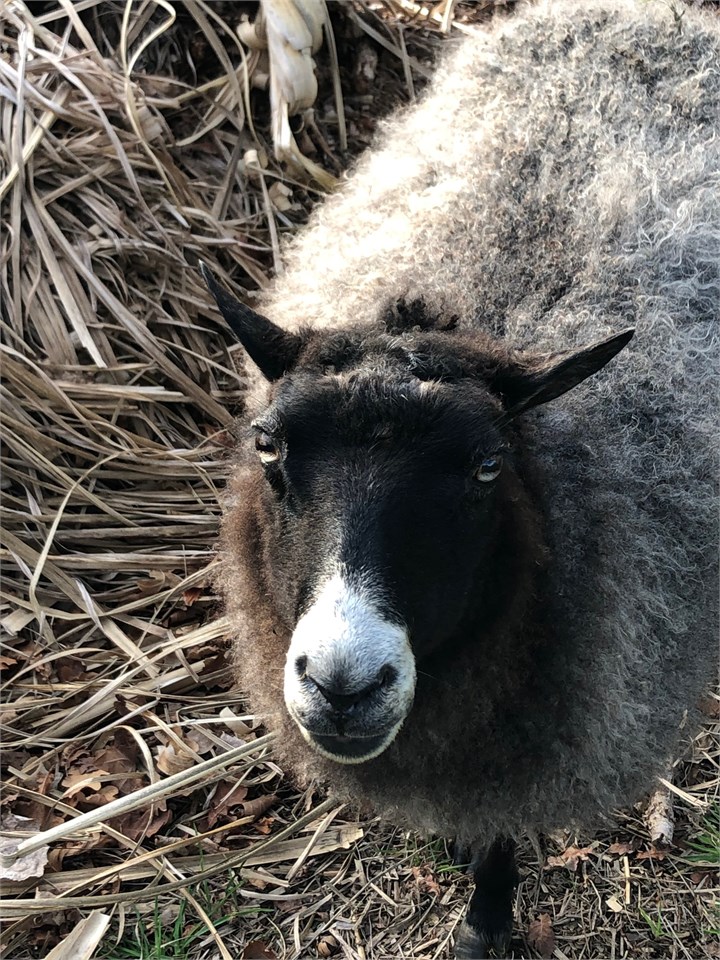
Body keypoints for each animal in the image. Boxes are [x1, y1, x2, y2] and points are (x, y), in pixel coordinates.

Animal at [201, 0, 720, 955]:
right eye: (268, 447)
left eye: (486, 468)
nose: (344, 686)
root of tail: (659, 14)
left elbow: (499, 831)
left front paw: (485, 918)